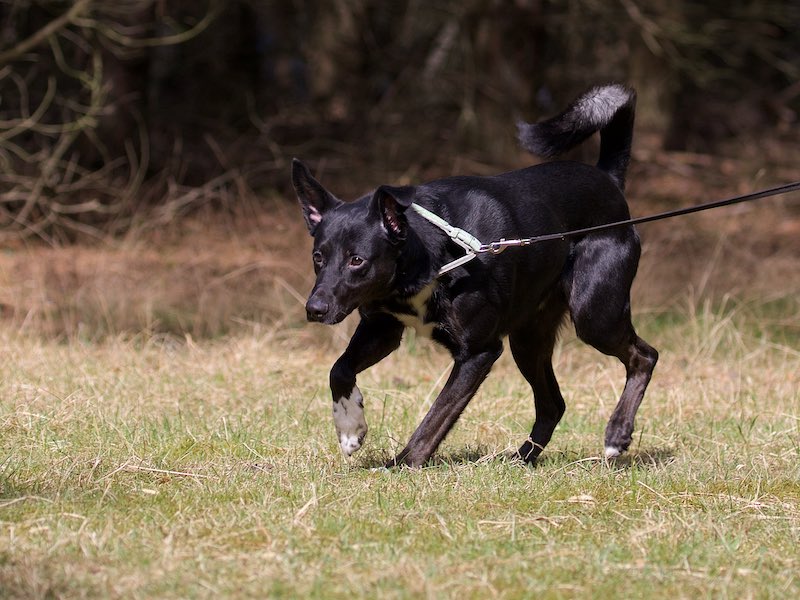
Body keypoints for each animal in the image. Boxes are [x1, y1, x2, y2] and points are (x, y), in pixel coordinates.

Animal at [292, 84, 658, 468]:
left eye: (357, 260)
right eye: (318, 257)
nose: (314, 309)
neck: (433, 257)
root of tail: (609, 180)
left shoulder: (478, 352)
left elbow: (436, 416)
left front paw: (403, 463)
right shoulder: (383, 328)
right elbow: (339, 369)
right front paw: (350, 428)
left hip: (594, 315)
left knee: (644, 357)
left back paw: (617, 434)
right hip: (528, 339)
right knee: (553, 404)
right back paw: (520, 460)